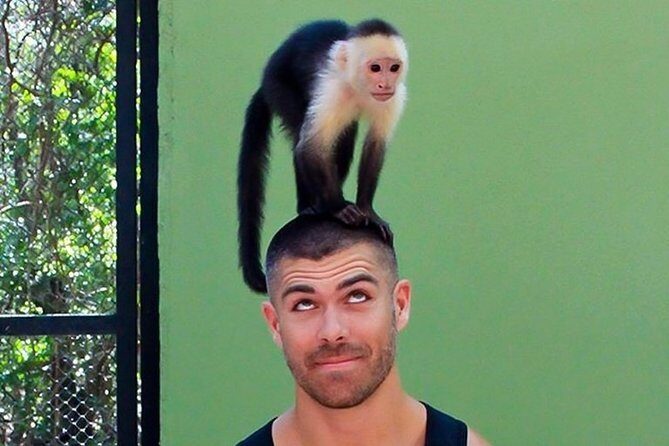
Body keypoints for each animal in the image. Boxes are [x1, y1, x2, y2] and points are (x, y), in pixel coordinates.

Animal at [237, 19, 408, 293]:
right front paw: (338, 209)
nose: (385, 84)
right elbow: (311, 148)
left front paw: (367, 210)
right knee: (302, 135)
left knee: (345, 140)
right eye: (375, 68)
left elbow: (375, 147)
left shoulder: (395, 97)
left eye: (393, 68)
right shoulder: (333, 90)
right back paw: (309, 206)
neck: (357, 87)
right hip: (277, 84)